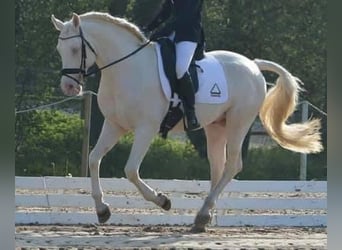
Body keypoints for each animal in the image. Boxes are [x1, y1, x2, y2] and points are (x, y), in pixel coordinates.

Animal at [50, 11, 320, 230]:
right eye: (59, 50)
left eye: (75, 50)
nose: (68, 87)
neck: (127, 68)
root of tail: (252, 64)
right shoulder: (115, 124)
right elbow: (94, 159)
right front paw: (102, 210)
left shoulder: (146, 128)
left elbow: (130, 170)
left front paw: (163, 200)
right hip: (216, 126)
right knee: (218, 166)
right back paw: (204, 216)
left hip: (239, 122)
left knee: (233, 165)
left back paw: (203, 214)